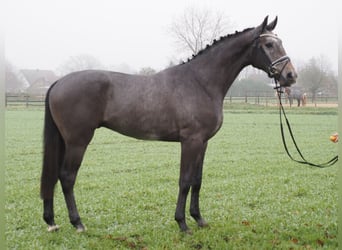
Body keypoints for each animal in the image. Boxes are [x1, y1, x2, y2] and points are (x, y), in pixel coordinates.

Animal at [40, 16, 296, 233]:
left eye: (281, 42)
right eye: (269, 45)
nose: (290, 76)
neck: (200, 82)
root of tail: (58, 82)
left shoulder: (203, 143)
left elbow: (197, 181)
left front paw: (199, 219)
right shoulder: (190, 141)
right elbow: (184, 181)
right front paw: (182, 224)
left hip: (65, 141)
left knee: (53, 176)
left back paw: (52, 222)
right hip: (78, 141)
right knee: (67, 177)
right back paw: (78, 223)